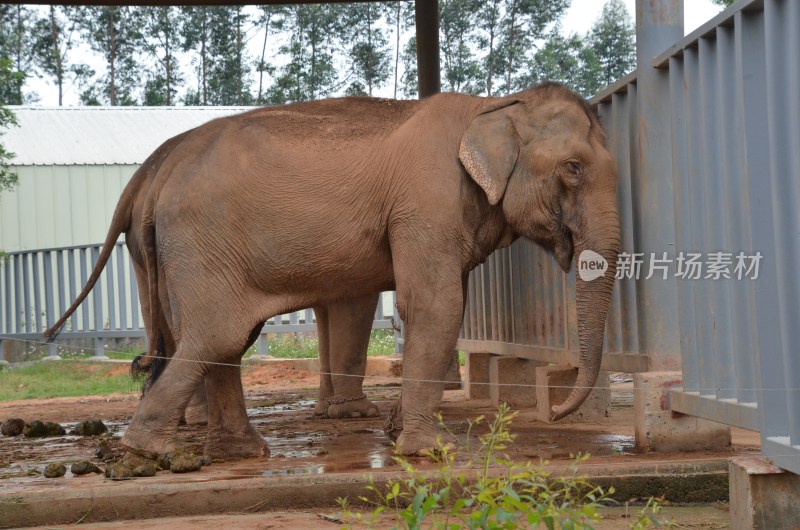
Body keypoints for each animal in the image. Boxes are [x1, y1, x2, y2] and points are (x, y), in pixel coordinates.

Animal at [45, 82, 620, 458]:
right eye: (573, 168)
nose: (559, 413)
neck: (492, 103)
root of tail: (160, 173)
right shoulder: (425, 202)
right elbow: (434, 306)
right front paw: (428, 449)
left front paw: (394, 433)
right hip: (200, 244)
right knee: (218, 333)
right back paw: (158, 453)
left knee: (223, 338)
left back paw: (240, 453)